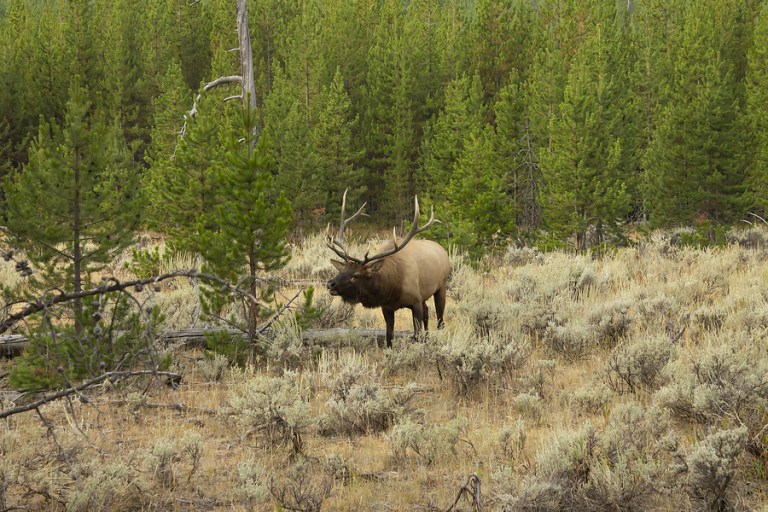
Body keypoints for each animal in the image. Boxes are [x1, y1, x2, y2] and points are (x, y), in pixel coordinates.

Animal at [326, 191, 451, 348]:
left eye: (356, 275)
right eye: (341, 270)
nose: (330, 283)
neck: (392, 286)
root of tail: (442, 250)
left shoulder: (415, 302)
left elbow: (416, 334)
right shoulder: (387, 307)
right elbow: (389, 337)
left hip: (441, 286)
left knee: (440, 321)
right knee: (428, 312)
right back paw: (428, 339)